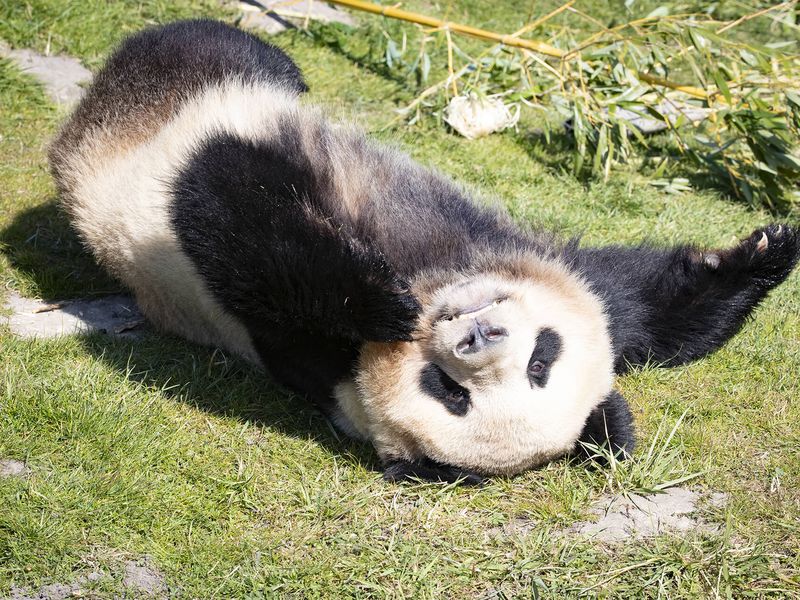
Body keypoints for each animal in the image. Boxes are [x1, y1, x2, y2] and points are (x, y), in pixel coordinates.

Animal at [47, 21, 796, 486]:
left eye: (451, 393)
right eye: (544, 356)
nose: (477, 334)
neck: (437, 271)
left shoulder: (305, 348)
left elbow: (236, 226)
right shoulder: (565, 279)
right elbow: (648, 307)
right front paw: (769, 249)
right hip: (198, 81)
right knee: (240, 58)